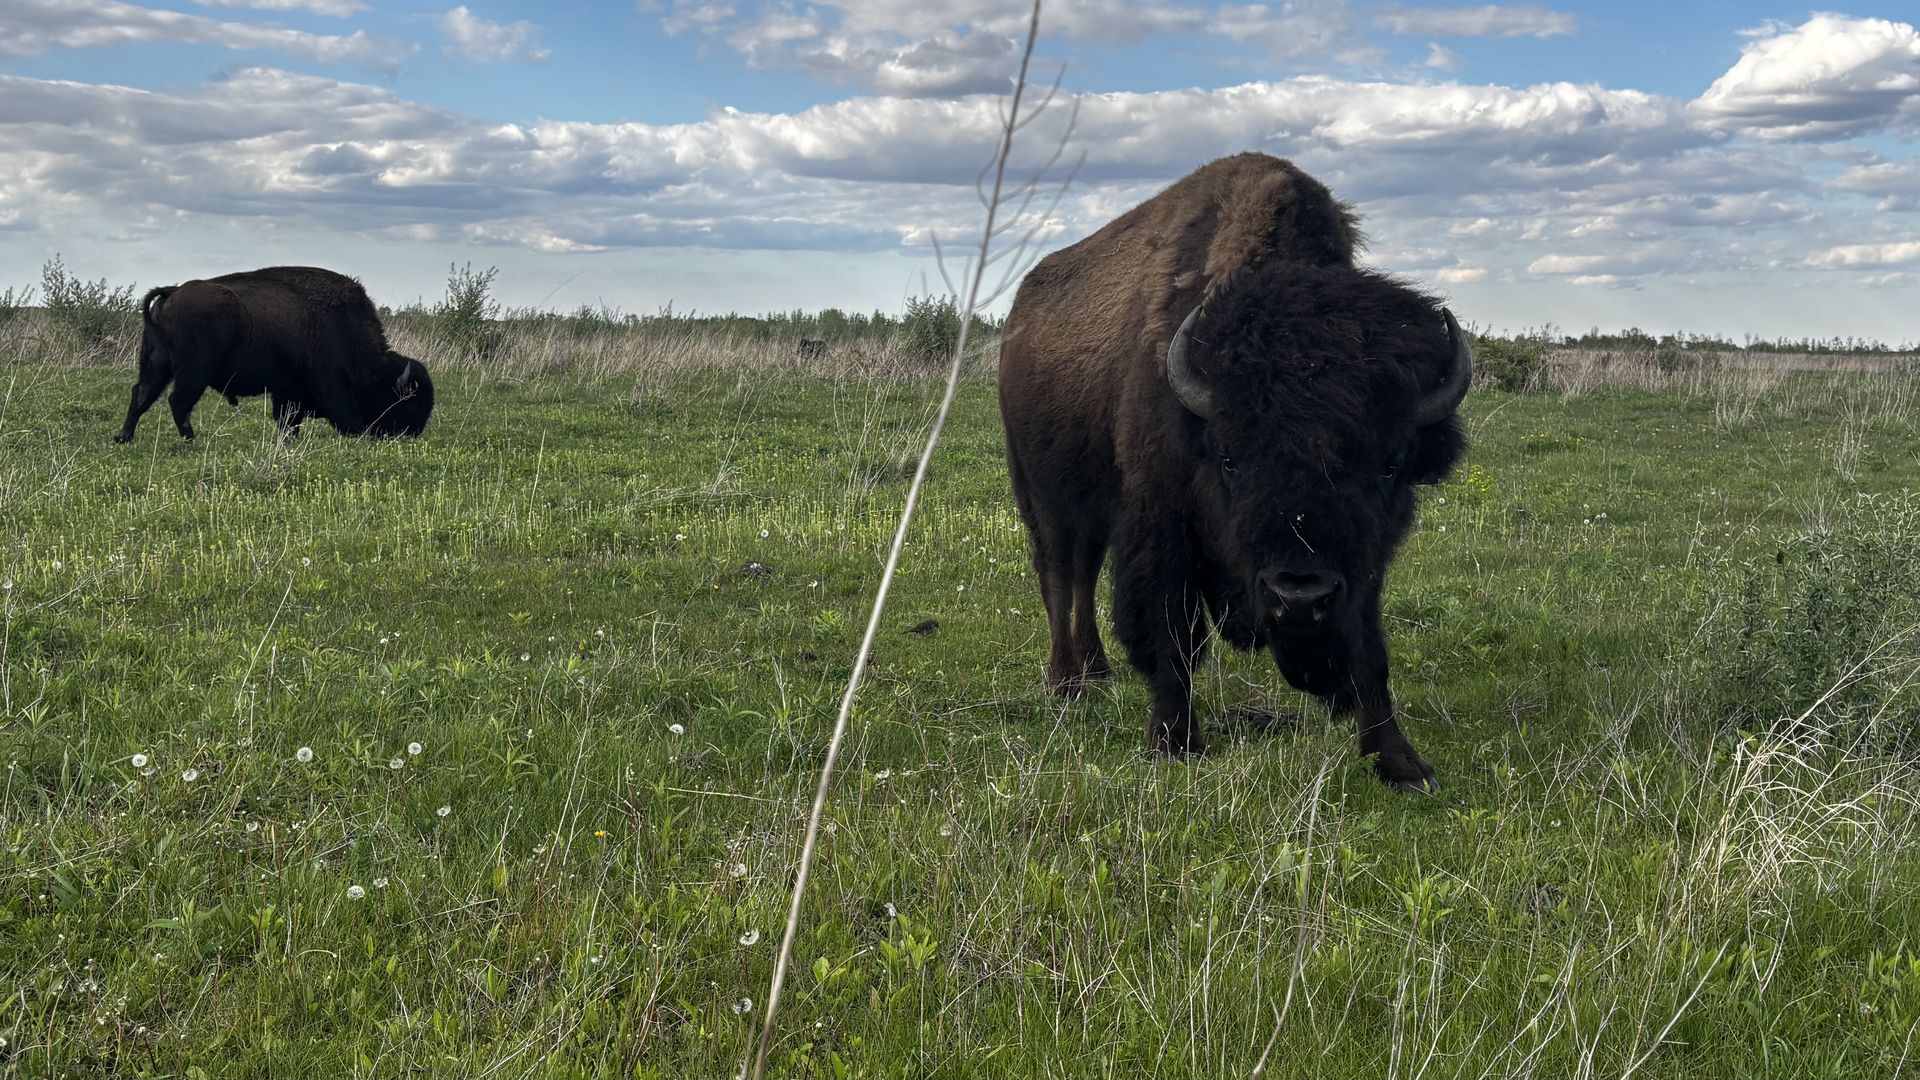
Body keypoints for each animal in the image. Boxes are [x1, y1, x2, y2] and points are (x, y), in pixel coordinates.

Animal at [114, 266, 433, 443]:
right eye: (408, 403)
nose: (411, 433)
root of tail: (172, 292)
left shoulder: (287, 390)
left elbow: (287, 418)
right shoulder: (332, 383)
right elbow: (347, 417)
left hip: (157, 363)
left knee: (142, 394)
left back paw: (124, 438)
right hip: (194, 371)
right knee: (178, 401)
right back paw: (191, 440)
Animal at [997, 153, 1472, 791]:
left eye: (1390, 464)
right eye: (1229, 458)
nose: (1299, 596)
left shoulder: (1364, 566)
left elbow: (1369, 649)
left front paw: (1400, 762)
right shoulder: (1160, 530)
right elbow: (1173, 636)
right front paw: (1174, 744)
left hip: (1090, 512)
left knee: (1082, 579)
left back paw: (1096, 671)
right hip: (1040, 496)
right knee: (1057, 577)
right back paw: (1066, 682)